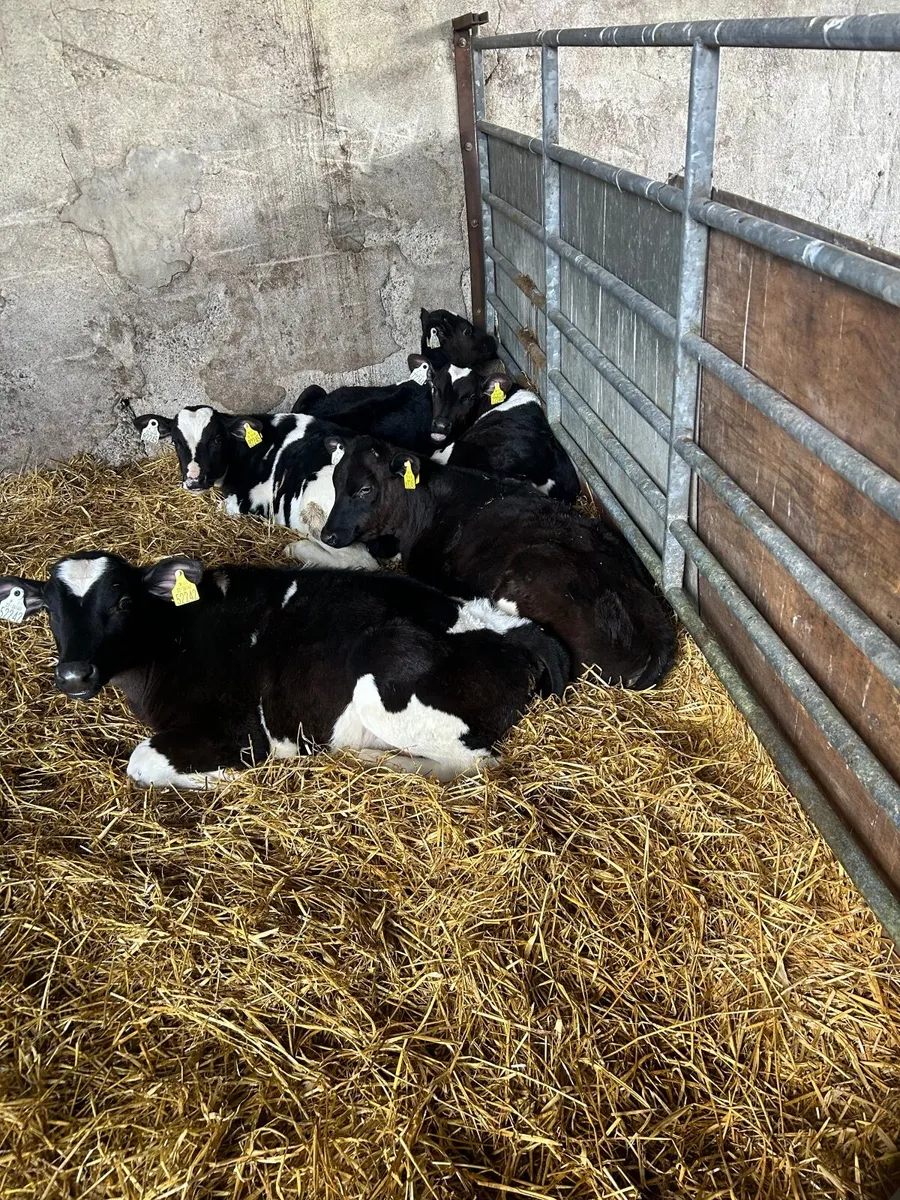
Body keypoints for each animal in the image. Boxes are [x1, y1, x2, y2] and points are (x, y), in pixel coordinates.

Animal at [0, 552, 569, 786]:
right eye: (49, 610)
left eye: (121, 603)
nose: (73, 674)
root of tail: (505, 626)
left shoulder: (241, 730)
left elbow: (141, 763)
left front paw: (226, 779)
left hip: (385, 684)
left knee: (476, 764)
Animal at [132, 405, 392, 568]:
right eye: (176, 442)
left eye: (217, 439)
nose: (194, 479)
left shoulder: (243, 501)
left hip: (319, 516)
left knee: (362, 561)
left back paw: (296, 548)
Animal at [321, 436, 677, 689]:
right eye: (335, 483)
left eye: (365, 489)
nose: (328, 534)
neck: (423, 506)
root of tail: (658, 632)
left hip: (520, 581)